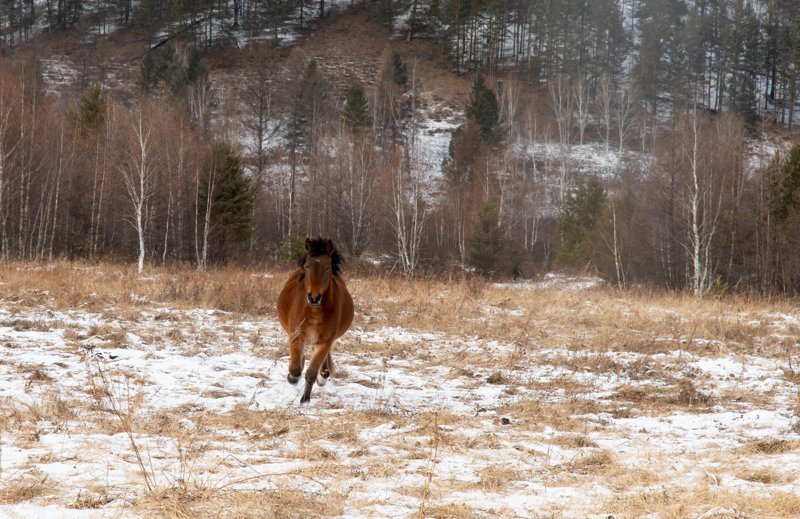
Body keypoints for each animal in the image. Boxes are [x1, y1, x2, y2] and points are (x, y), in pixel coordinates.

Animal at [276, 238, 352, 404]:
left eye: (327, 267)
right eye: (307, 266)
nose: (314, 297)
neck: (314, 312)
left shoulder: (325, 341)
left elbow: (311, 372)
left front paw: (305, 399)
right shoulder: (296, 336)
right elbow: (296, 369)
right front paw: (292, 378)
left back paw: (323, 375)